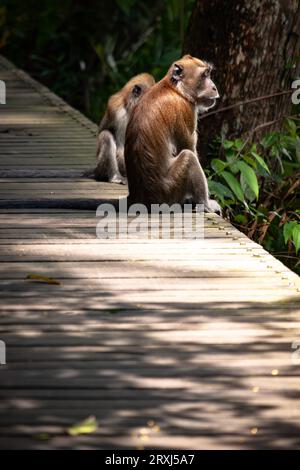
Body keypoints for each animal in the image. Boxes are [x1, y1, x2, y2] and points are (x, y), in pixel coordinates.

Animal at [124, 53, 220, 213]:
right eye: (204, 75)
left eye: (209, 73)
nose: (214, 87)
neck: (175, 89)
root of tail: (142, 199)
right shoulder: (185, 110)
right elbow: (187, 147)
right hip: (169, 190)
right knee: (189, 157)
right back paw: (205, 205)